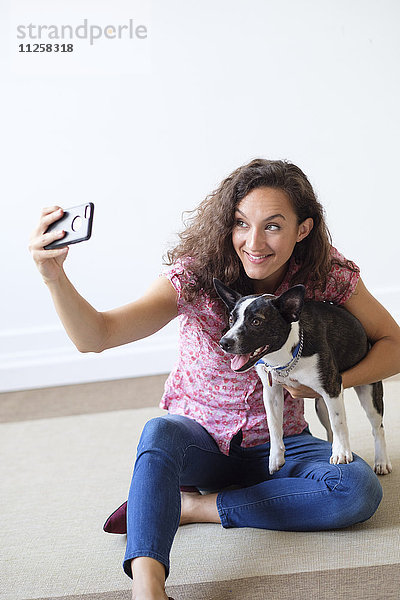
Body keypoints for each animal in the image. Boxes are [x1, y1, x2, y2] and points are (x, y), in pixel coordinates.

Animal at [214, 278, 392, 476]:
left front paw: (342, 453)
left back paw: (381, 461)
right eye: (231, 319)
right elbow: (274, 425)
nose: (224, 342)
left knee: (377, 427)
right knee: (330, 427)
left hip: (368, 393)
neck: (283, 356)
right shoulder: (272, 392)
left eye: (256, 322)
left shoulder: (331, 387)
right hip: (322, 405)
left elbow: (339, 422)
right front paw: (276, 457)